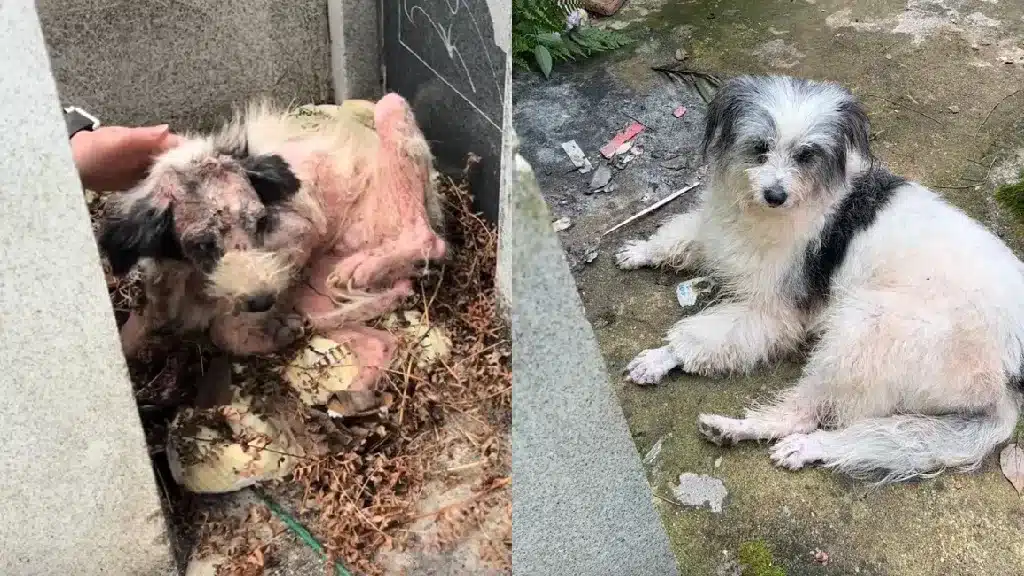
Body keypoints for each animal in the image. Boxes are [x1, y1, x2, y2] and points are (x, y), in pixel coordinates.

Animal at [98, 94, 444, 389]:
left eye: (261, 222)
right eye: (203, 244)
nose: (263, 302)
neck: (191, 279)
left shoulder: (299, 236)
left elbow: (222, 330)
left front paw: (273, 332)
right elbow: (137, 329)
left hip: (390, 112)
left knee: (430, 240)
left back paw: (366, 266)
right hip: (316, 291)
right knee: (379, 341)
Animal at [614, 75, 1024, 479]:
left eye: (806, 154)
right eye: (760, 147)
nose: (774, 194)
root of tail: (1008, 376)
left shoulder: (774, 313)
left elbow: (705, 337)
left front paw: (661, 357)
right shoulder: (719, 229)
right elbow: (683, 234)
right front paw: (641, 252)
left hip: (867, 333)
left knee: (804, 414)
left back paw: (742, 430)